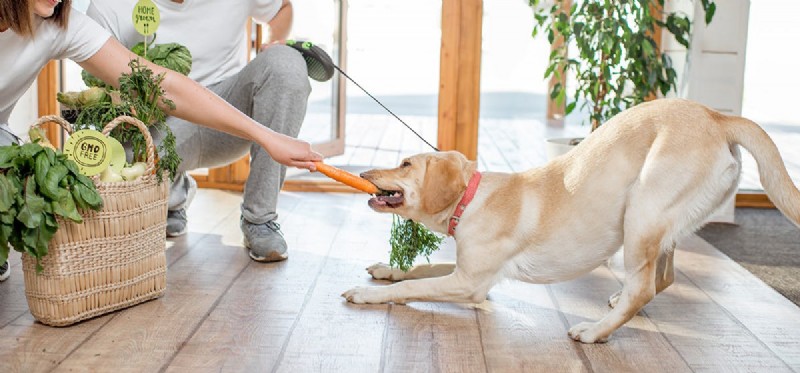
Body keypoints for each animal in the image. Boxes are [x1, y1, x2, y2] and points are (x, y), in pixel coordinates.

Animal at [340, 97, 800, 342]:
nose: (363, 172)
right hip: (664, 222)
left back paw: (596, 331)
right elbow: (418, 269)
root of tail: (716, 116)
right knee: (662, 278)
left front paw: (367, 295)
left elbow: (414, 285)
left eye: (405, 164)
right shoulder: (466, 269)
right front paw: (386, 270)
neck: (471, 199)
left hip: (642, 211)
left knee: (645, 288)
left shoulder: (471, 284)